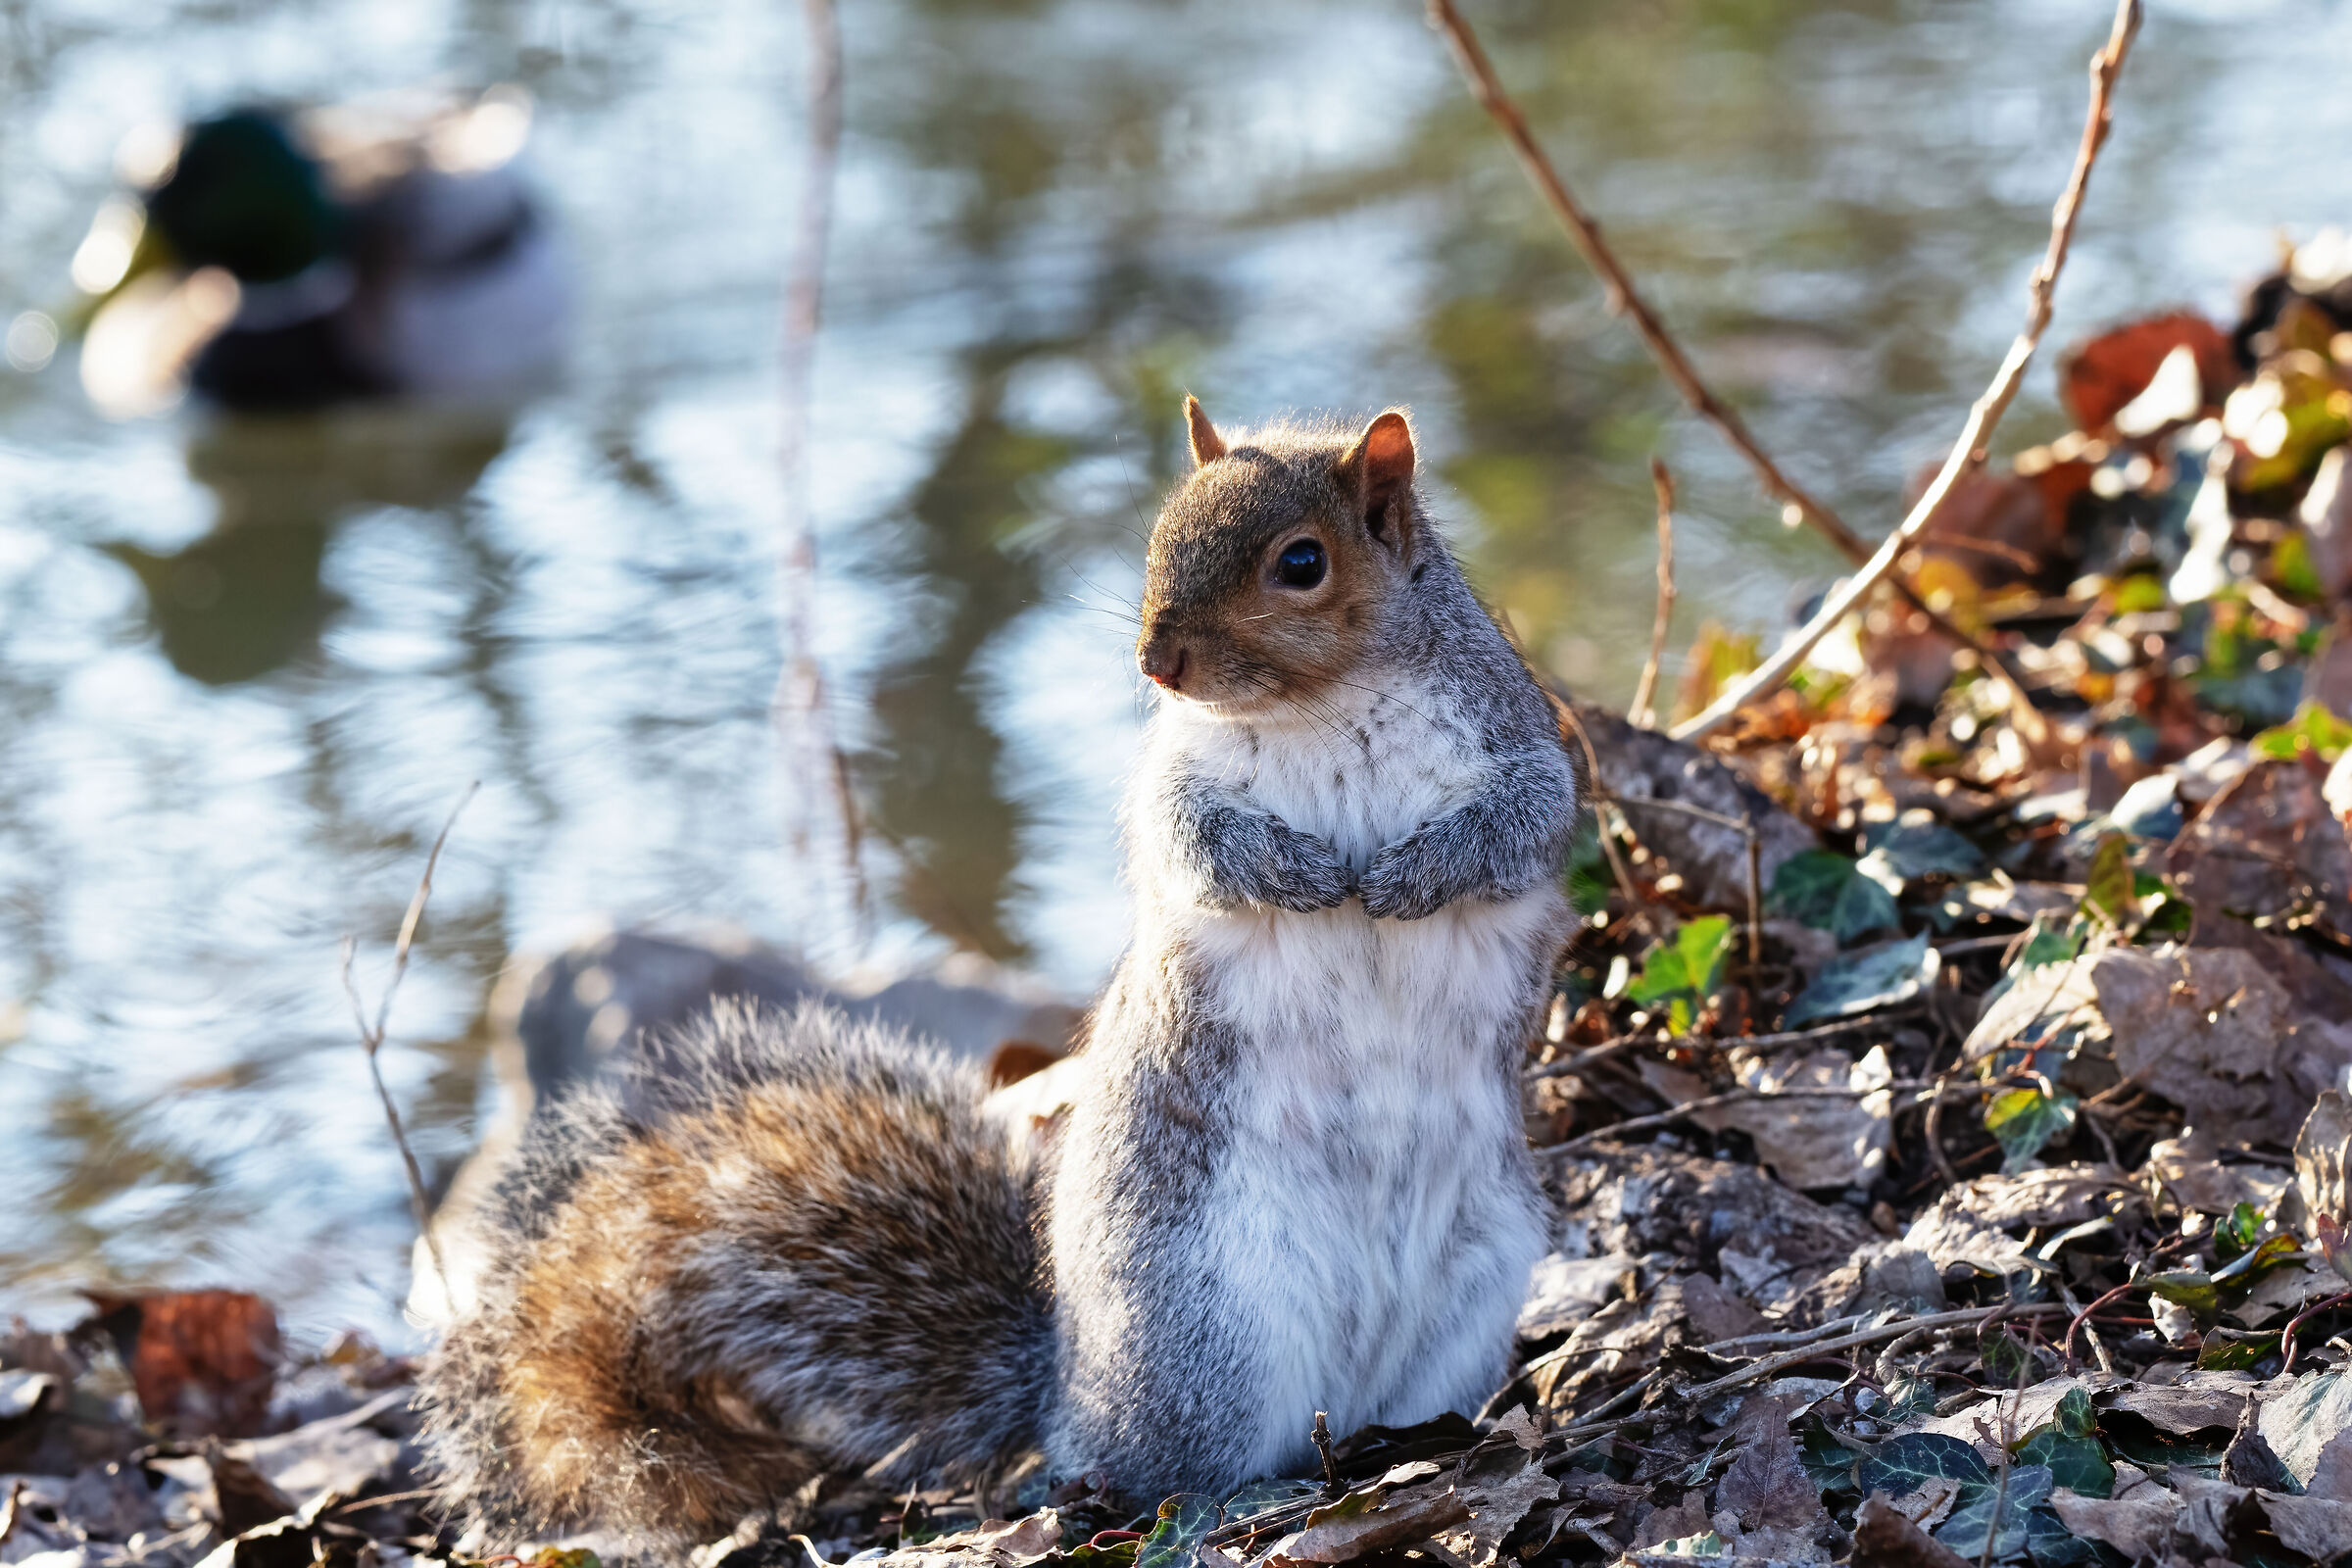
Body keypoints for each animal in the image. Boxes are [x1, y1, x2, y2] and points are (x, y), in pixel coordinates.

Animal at [419, 402, 1585, 1555]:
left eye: (1303, 562)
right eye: (1161, 532)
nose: (1157, 662)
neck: (1323, 706)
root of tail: (1064, 1395)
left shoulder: (1522, 745)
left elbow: (1524, 823)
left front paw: (1414, 871)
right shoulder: (1173, 785)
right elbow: (1192, 842)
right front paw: (1294, 871)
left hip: (1476, 1287)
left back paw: (1419, 1444)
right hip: (1210, 1319)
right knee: (1179, 1464)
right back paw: (1243, 1493)